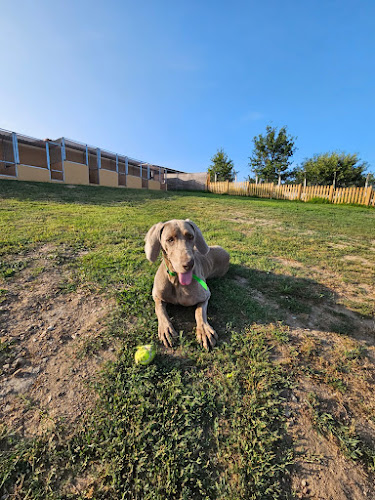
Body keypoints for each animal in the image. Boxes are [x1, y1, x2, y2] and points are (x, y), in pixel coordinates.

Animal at [145, 217, 231, 350]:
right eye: (170, 239)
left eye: (191, 237)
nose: (189, 264)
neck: (176, 281)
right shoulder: (156, 295)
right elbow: (160, 310)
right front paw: (166, 329)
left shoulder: (206, 295)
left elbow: (199, 312)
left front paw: (204, 331)